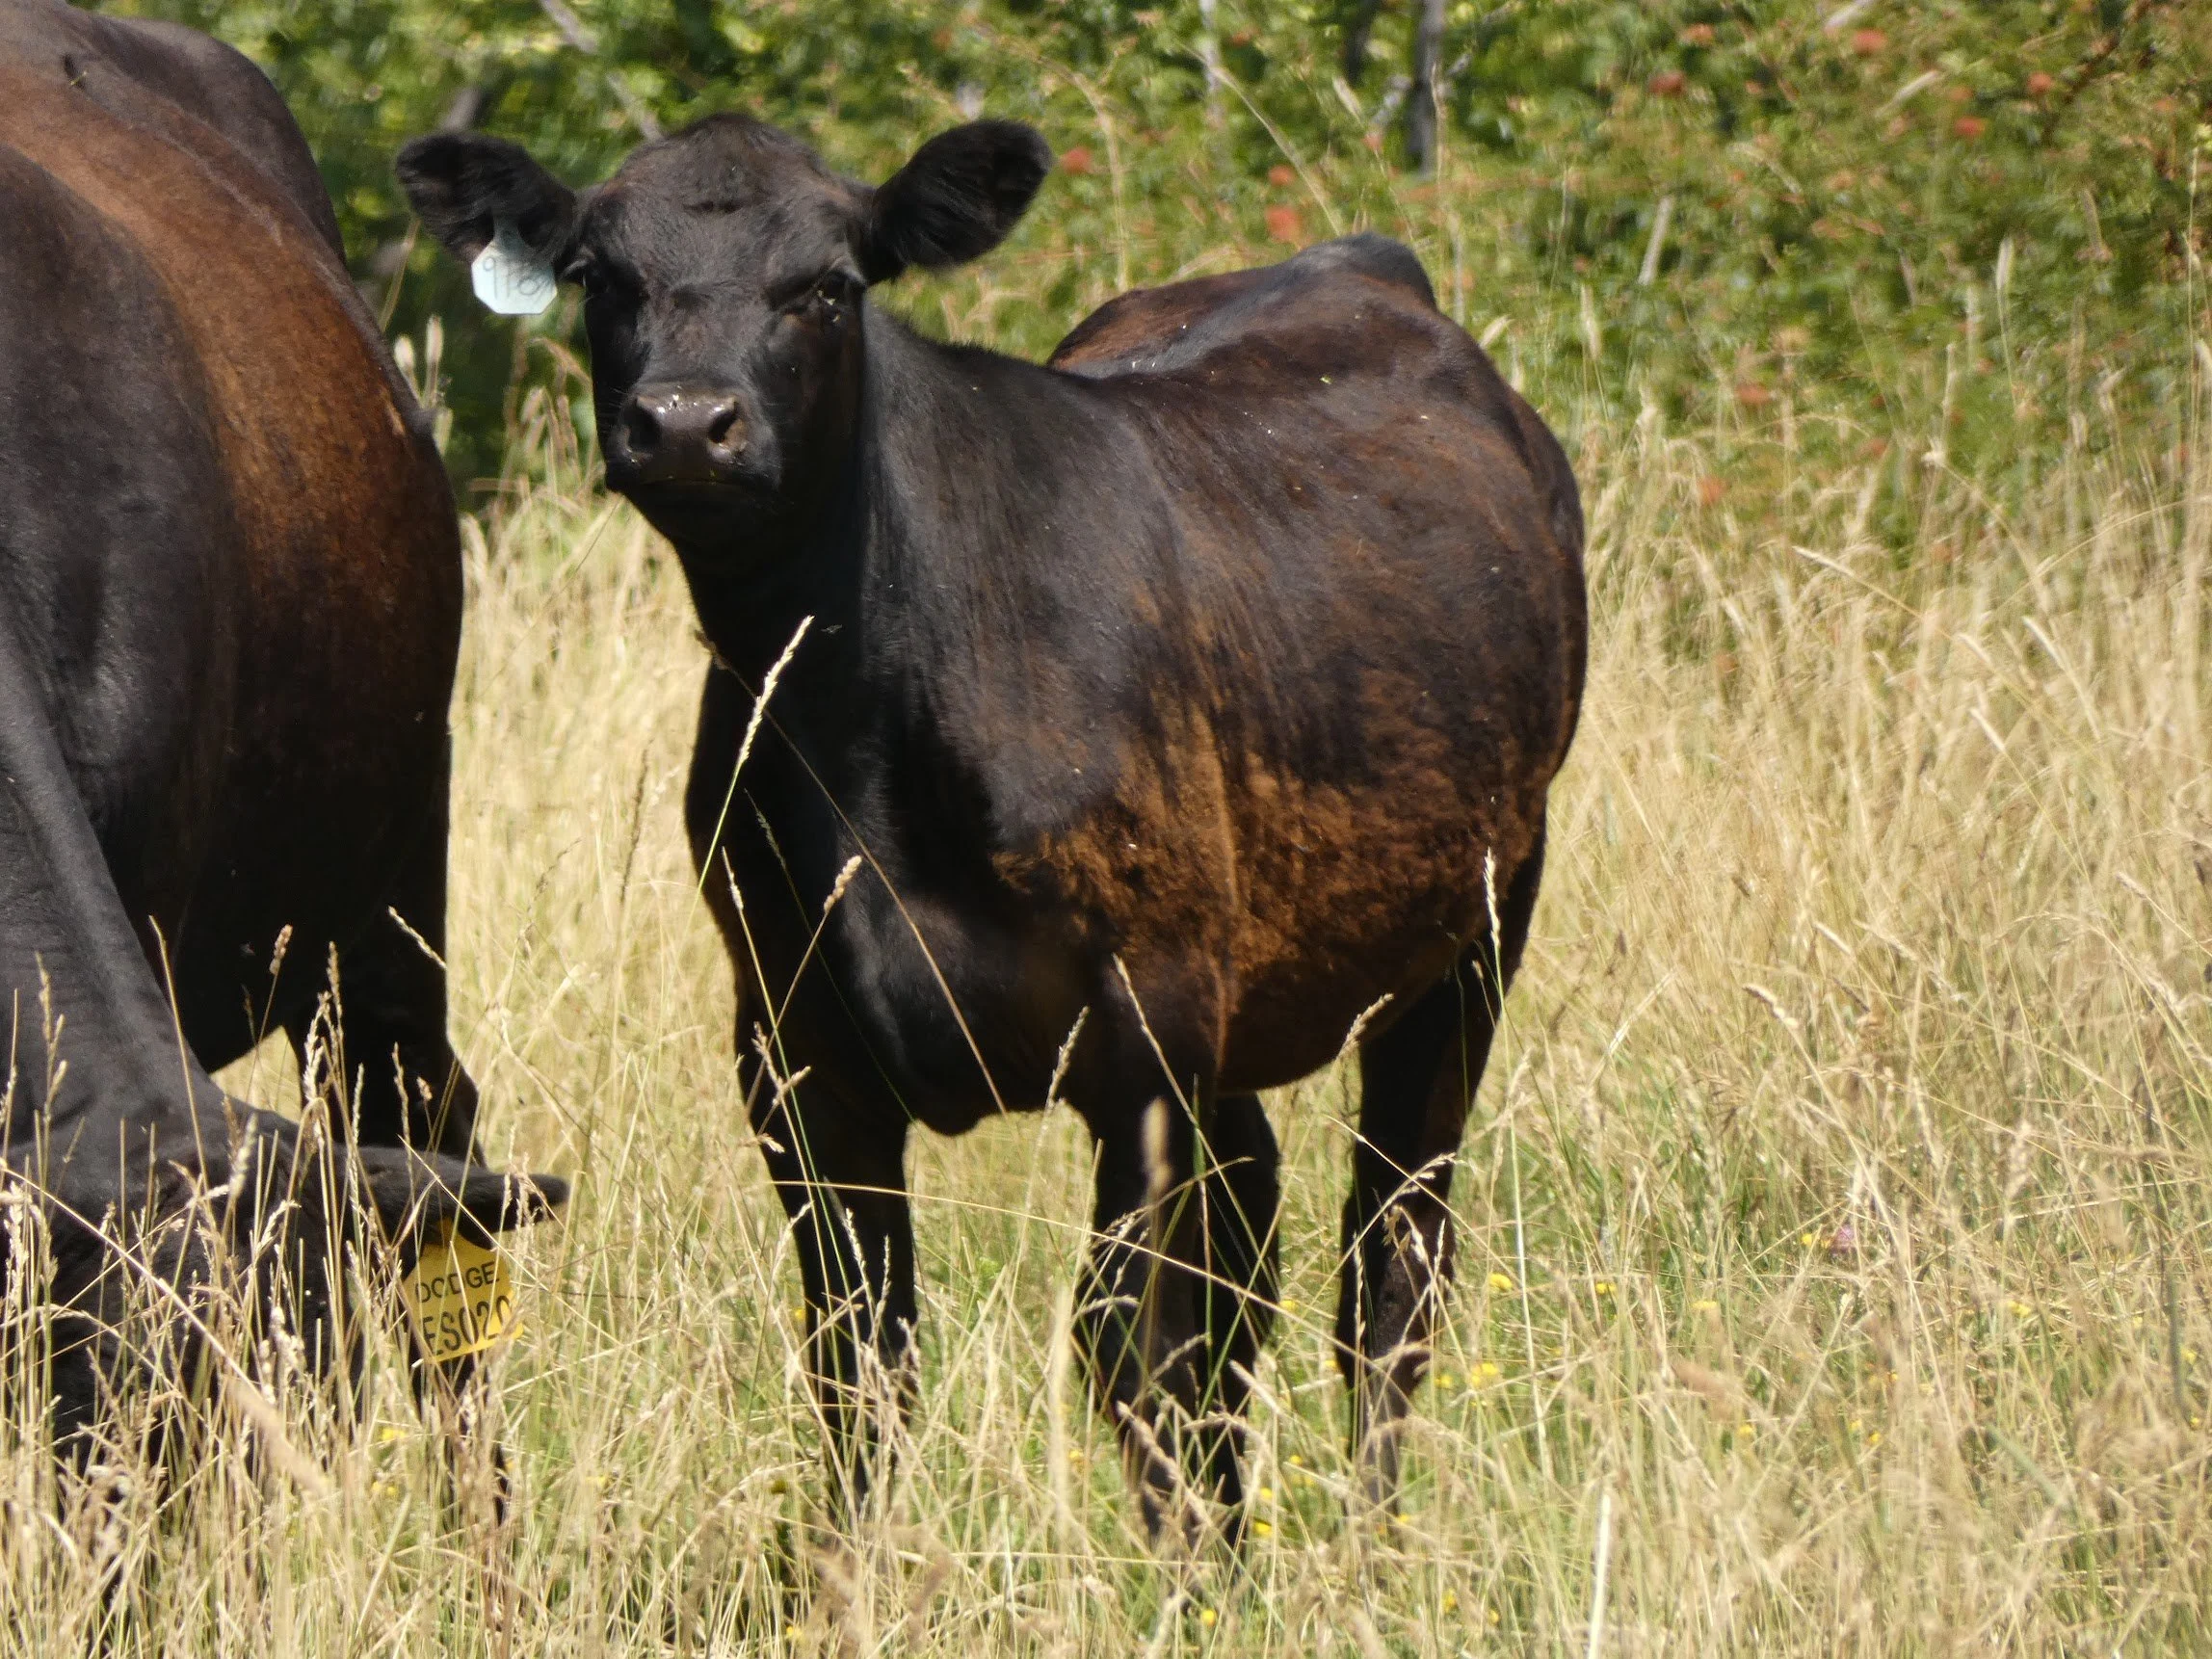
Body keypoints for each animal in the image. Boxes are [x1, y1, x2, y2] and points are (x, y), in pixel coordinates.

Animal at [400, 110, 1583, 1539]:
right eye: (599, 273)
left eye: (829, 284)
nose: (685, 422)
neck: (866, 742)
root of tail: (1353, 263)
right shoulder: (794, 1053)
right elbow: (861, 1358)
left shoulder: (1147, 1033)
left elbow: (1135, 1346)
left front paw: (1180, 1566)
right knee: (1257, 1233)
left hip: (1475, 924)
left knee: (1390, 1263)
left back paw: (1369, 1543)